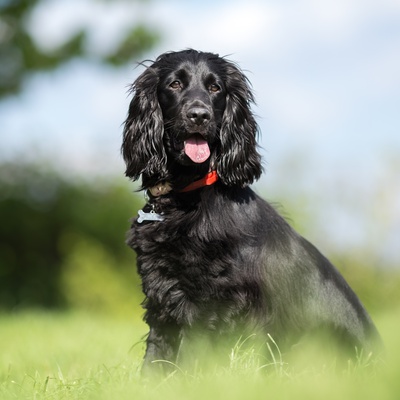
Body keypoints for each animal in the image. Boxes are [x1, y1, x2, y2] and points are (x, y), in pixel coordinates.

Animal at [122, 49, 382, 372]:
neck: (187, 196)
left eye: (215, 88)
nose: (200, 115)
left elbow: (191, 355)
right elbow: (156, 355)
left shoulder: (207, 301)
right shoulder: (162, 292)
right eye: (174, 84)